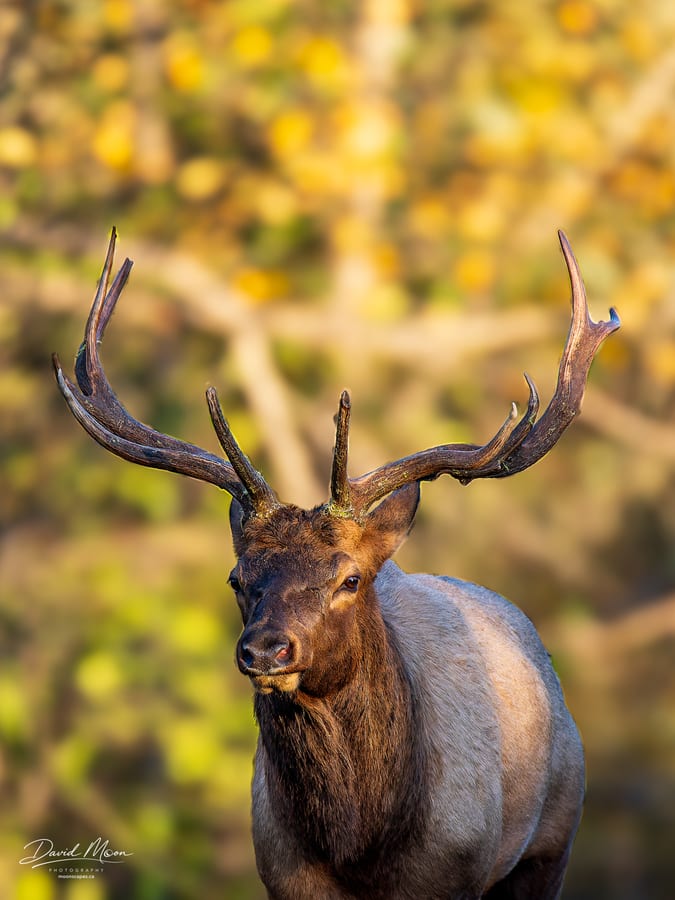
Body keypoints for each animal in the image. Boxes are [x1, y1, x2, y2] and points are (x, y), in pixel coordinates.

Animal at [53, 229, 619, 899]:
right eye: (238, 579)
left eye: (350, 578)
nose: (266, 650)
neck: (360, 850)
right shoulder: (282, 875)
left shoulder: (458, 871)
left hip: (552, 837)